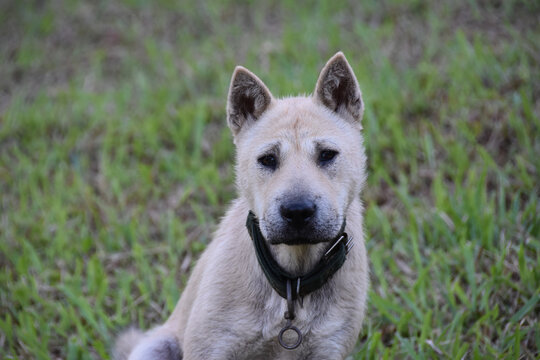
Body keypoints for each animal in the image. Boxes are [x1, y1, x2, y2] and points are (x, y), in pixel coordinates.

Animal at [112, 51, 370, 360]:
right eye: (268, 159)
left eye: (327, 155)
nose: (297, 212)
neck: (291, 282)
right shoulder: (210, 347)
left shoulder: (328, 349)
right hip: (155, 346)